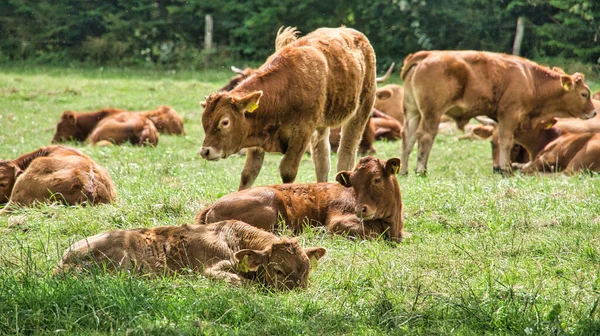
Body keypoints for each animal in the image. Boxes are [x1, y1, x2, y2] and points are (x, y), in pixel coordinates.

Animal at [57, 219, 324, 290]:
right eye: (278, 270)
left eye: (307, 271)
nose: (299, 294)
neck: (234, 238)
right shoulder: (210, 271)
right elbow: (245, 284)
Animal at [199, 26, 376, 189]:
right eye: (204, 122)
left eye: (225, 122)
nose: (205, 151)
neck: (286, 89)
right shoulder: (257, 138)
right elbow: (248, 173)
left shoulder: (301, 133)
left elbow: (288, 171)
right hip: (322, 125)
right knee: (322, 158)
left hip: (361, 111)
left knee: (346, 151)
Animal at [400, 51, 596, 176]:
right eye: (584, 94)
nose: (594, 112)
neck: (530, 79)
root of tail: (426, 55)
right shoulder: (509, 115)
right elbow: (506, 140)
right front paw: (505, 169)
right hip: (432, 113)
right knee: (425, 136)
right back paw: (421, 170)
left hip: (412, 112)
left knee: (408, 137)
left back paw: (404, 170)